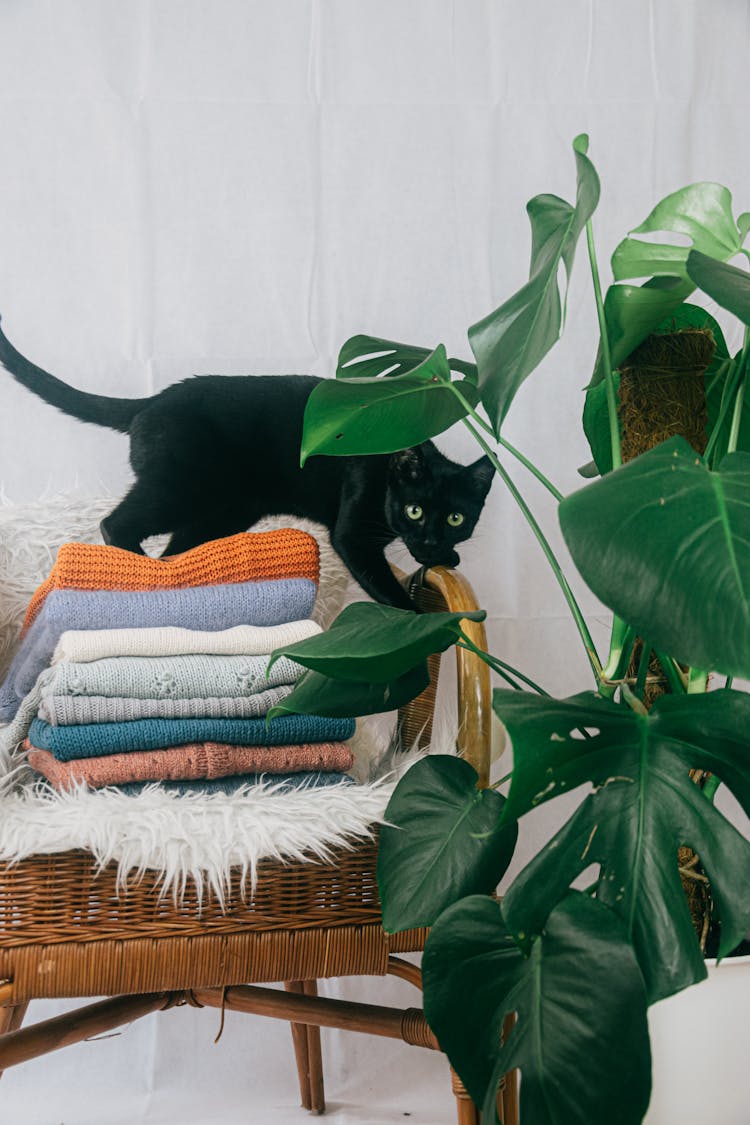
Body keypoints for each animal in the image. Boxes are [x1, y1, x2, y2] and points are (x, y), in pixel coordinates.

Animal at [0, 321, 494, 612]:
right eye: (415, 509)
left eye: (456, 517)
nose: (429, 537)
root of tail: (151, 401)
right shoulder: (351, 535)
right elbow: (385, 587)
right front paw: (424, 624)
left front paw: (443, 556)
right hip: (179, 490)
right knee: (115, 523)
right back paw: (141, 575)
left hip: (223, 513)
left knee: (174, 551)